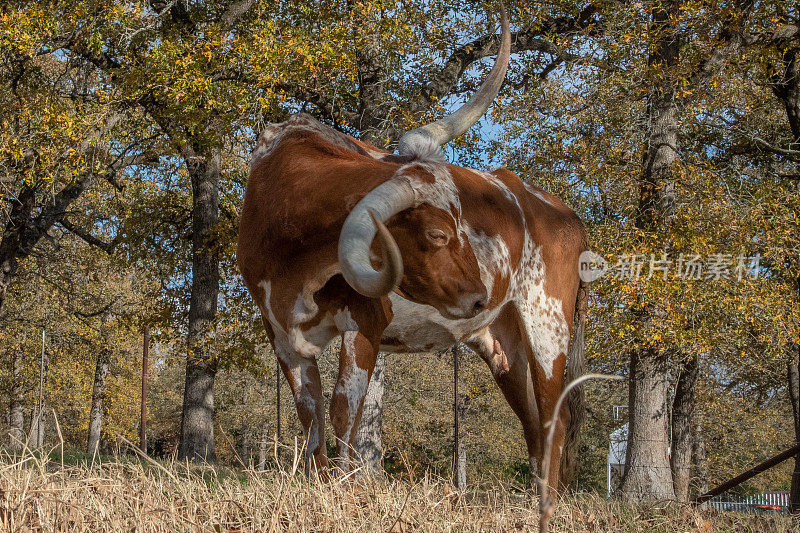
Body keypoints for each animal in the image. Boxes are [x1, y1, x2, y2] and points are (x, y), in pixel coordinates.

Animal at [238, 6, 588, 492]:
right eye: (439, 233)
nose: (480, 296)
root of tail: (564, 212)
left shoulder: (366, 319)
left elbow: (343, 411)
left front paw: (343, 489)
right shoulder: (281, 333)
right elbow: (310, 418)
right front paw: (318, 485)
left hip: (547, 326)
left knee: (555, 418)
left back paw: (548, 499)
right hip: (506, 344)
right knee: (533, 422)